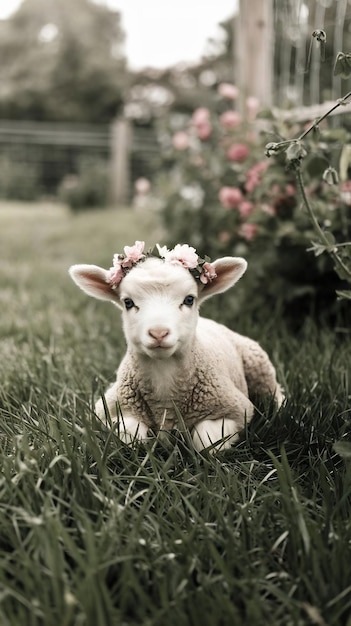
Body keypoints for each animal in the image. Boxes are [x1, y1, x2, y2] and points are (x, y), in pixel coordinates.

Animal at [69, 241, 284, 450]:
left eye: (189, 299)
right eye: (128, 302)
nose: (158, 333)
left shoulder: (236, 410)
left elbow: (206, 441)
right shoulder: (111, 409)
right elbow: (131, 437)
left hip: (257, 364)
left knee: (273, 391)